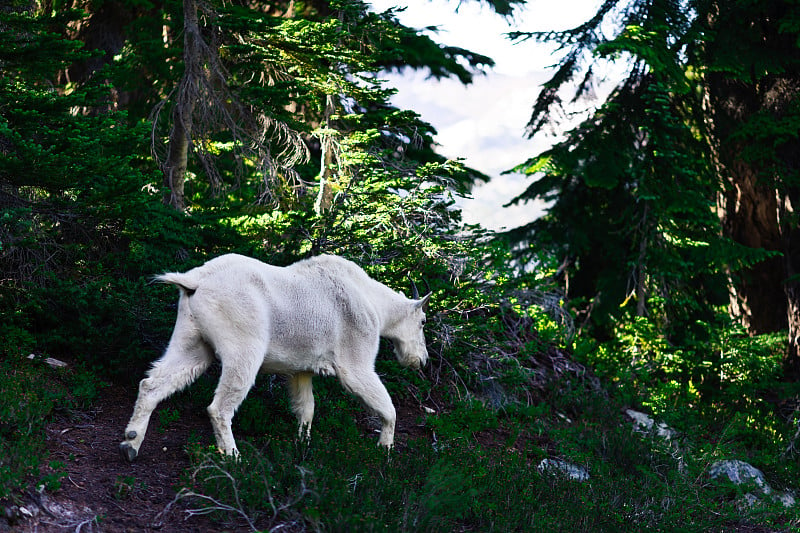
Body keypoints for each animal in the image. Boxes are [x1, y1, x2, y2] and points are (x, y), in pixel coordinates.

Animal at [117, 251, 432, 460]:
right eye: (423, 321)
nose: (422, 360)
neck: (374, 304)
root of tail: (195, 281)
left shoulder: (301, 369)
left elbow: (306, 408)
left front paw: (303, 444)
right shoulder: (355, 359)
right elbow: (385, 406)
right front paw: (386, 449)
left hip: (191, 338)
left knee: (154, 382)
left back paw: (131, 443)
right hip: (243, 344)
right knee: (220, 405)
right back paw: (232, 455)